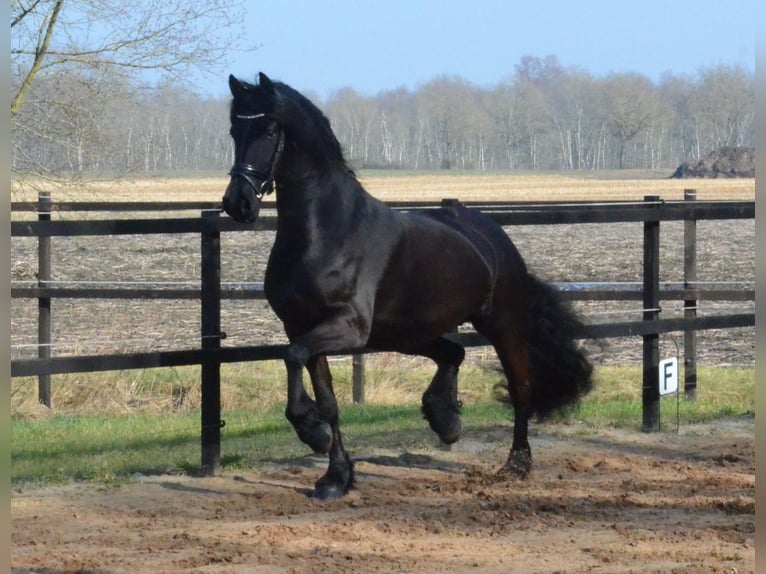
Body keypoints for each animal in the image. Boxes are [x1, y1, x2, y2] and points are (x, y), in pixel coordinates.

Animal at [222, 72, 593, 499]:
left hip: (503, 325)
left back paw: (516, 463)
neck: (327, 230)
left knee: (520, 386)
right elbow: (326, 396)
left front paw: (312, 433)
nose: (237, 204)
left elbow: (293, 357)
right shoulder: (301, 326)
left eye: (268, 130)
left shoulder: (347, 326)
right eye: (234, 130)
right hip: (407, 333)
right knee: (453, 353)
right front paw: (335, 477)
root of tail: (491, 234)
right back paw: (445, 420)